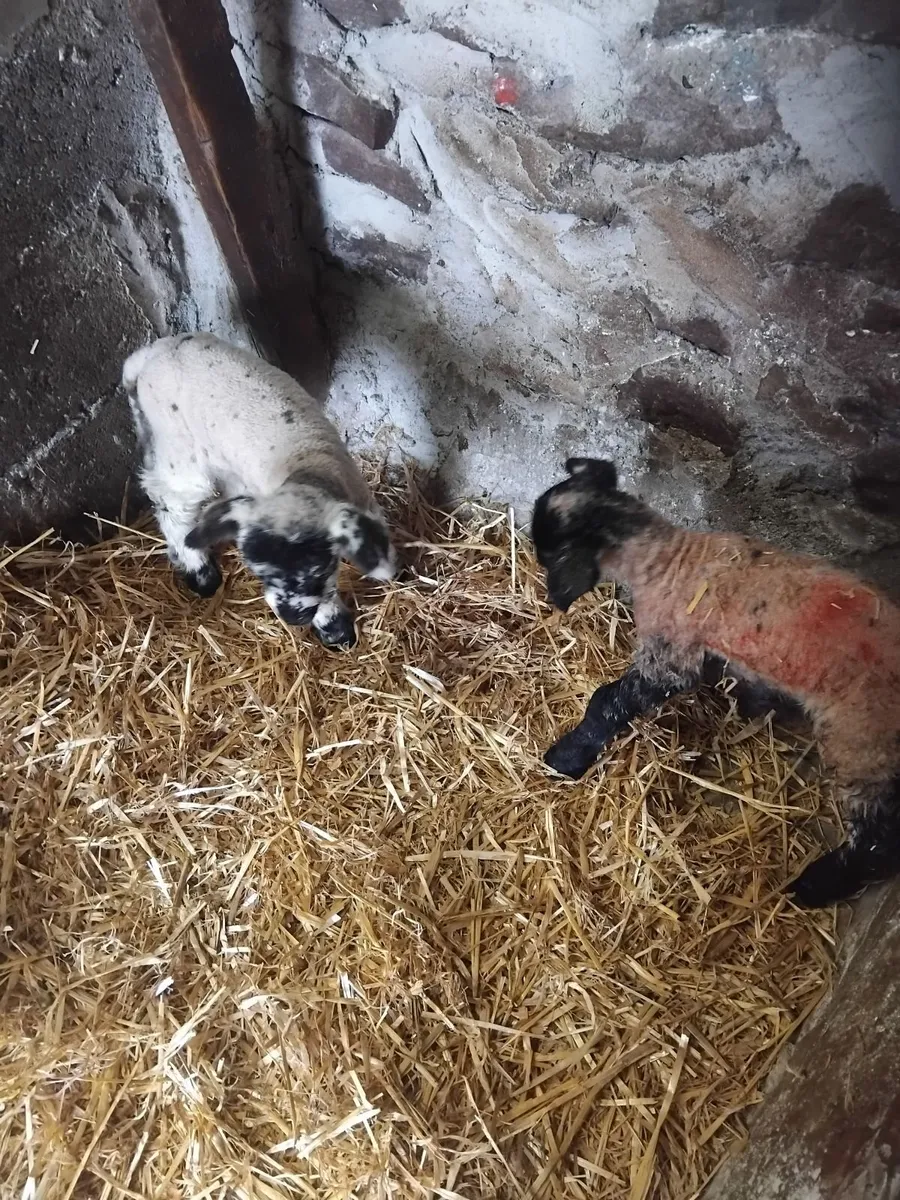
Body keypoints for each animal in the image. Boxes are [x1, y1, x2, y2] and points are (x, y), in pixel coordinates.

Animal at [122, 333, 396, 649]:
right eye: (260, 573)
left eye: (318, 569)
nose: (292, 616)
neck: (305, 466)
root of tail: (150, 353)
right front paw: (336, 629)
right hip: (177, 444)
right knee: (173, 501)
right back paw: (201, 574)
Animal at [531, 457, 900, 908]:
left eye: (550, 554)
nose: (552, 597)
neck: (669, 557)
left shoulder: (669, 652)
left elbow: (609, 701)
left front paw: (567, 756)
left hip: (863, 740)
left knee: (878, 838)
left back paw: (815, 886)